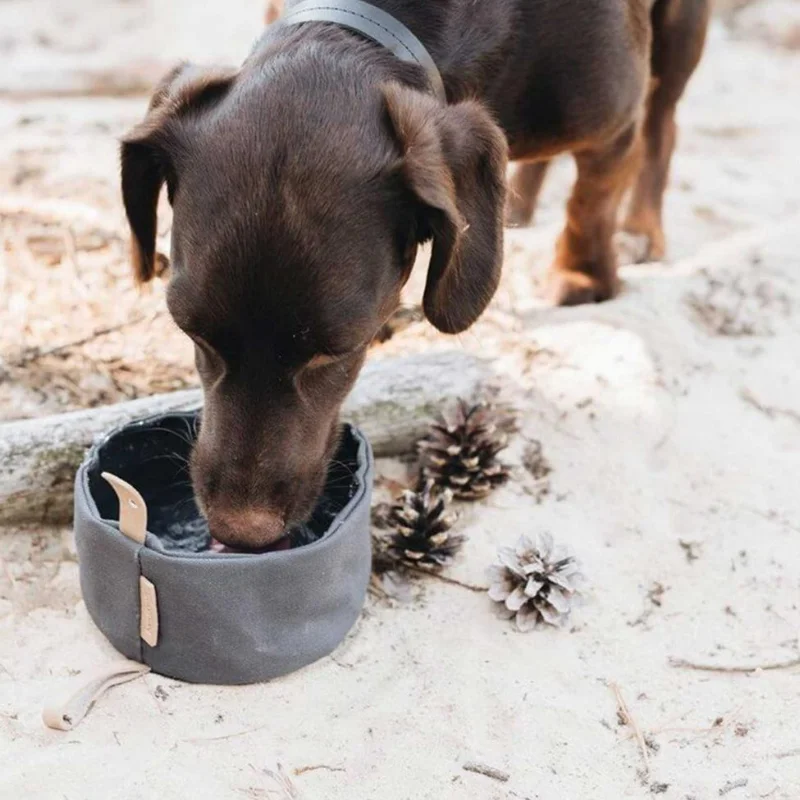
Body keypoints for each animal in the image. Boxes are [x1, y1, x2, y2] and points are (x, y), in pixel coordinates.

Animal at [122, 0, 708, 552]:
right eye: (192, 333)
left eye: (335, 352)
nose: (241, 532)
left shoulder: (615, 118)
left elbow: (593, 199)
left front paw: (583, 275)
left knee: (664, 124)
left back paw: (639, 230)